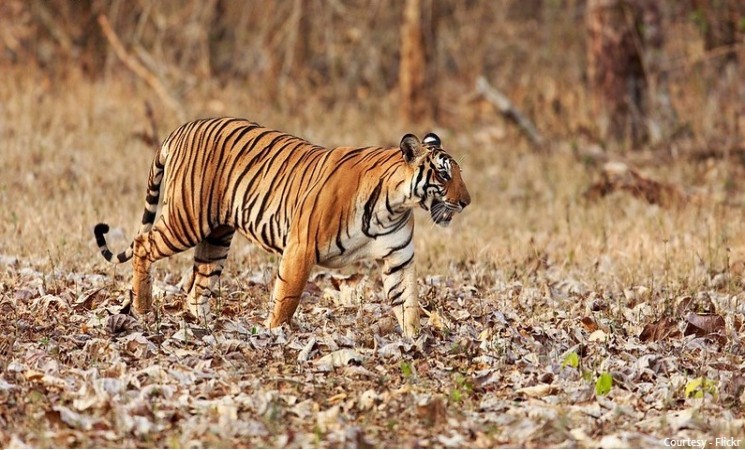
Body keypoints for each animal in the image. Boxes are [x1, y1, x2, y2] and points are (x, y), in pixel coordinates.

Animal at [90, 118, 468, 336]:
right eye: (443, 174)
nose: (466, 201)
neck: (395, 204)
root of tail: (181, 128)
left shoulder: (398, 257)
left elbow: (409, 302)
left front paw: (414, 342)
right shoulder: (301, 247)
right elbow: (287, 297)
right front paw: (274, 334)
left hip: (216, 236)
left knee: (198, 287)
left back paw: (206, 325)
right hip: (186, 219)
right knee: (142, 244)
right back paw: (143, 308)